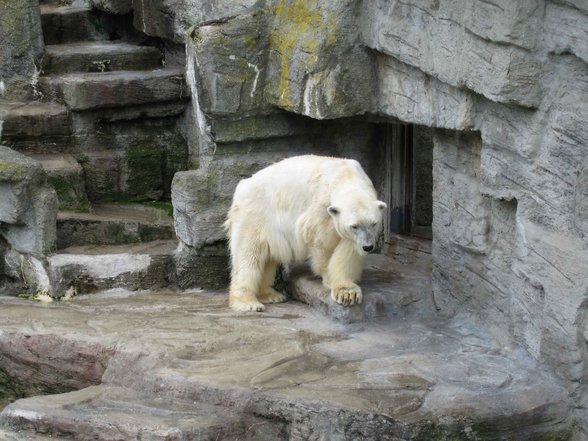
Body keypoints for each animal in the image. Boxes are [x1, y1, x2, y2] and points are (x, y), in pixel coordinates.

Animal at [225, 154, 386, 310]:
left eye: (373, 224)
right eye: (354, 226)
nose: (368, 247)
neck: (345, 175)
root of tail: (241, 186)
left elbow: (348, 250)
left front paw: (347, 292)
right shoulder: (322, 207)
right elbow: (321, 241)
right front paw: (335, 283)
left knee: (267, 257)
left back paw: (271, 294)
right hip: (254, 215)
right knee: (248, 256)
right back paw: (248, 302)